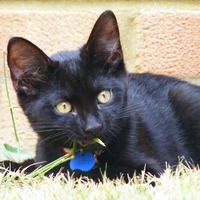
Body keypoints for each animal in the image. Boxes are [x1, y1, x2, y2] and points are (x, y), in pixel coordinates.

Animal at [3, 10, 200, 180]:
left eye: (104, 96)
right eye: (64, 106)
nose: (93, 127)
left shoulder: (149, 170)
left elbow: (93, 174)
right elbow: (37, 167)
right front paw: (10, 166)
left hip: (185, 97)